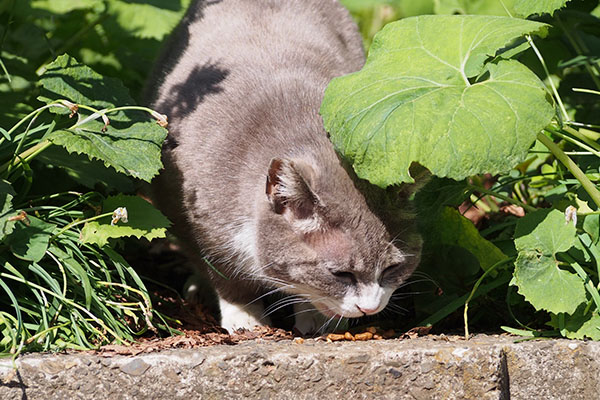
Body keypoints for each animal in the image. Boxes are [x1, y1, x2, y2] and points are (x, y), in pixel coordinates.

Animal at [148, 0, 424, 332]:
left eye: (392, 268)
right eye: (341, 274)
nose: (369, 309)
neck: (300, 128)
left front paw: (316, 318)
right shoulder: (206, 224)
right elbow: (227, 276)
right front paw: (245, 317)